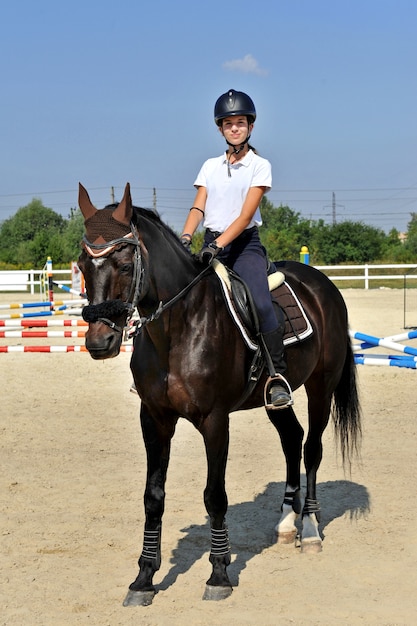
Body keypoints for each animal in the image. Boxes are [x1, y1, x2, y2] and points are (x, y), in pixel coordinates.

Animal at [77, 182, 360, 604]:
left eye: (125, 265)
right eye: (81, 265)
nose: (100, 342)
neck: (178, 328)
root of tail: (322, 283)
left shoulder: (214, 420)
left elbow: (215, 496)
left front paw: (218, 574)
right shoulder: (154, 419)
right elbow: (153, 497)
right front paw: (143, 579)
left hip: (321, 386)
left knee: (312, 449)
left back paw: (309, 528)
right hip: (276, 396)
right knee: (292, 440)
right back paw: (286, 523)